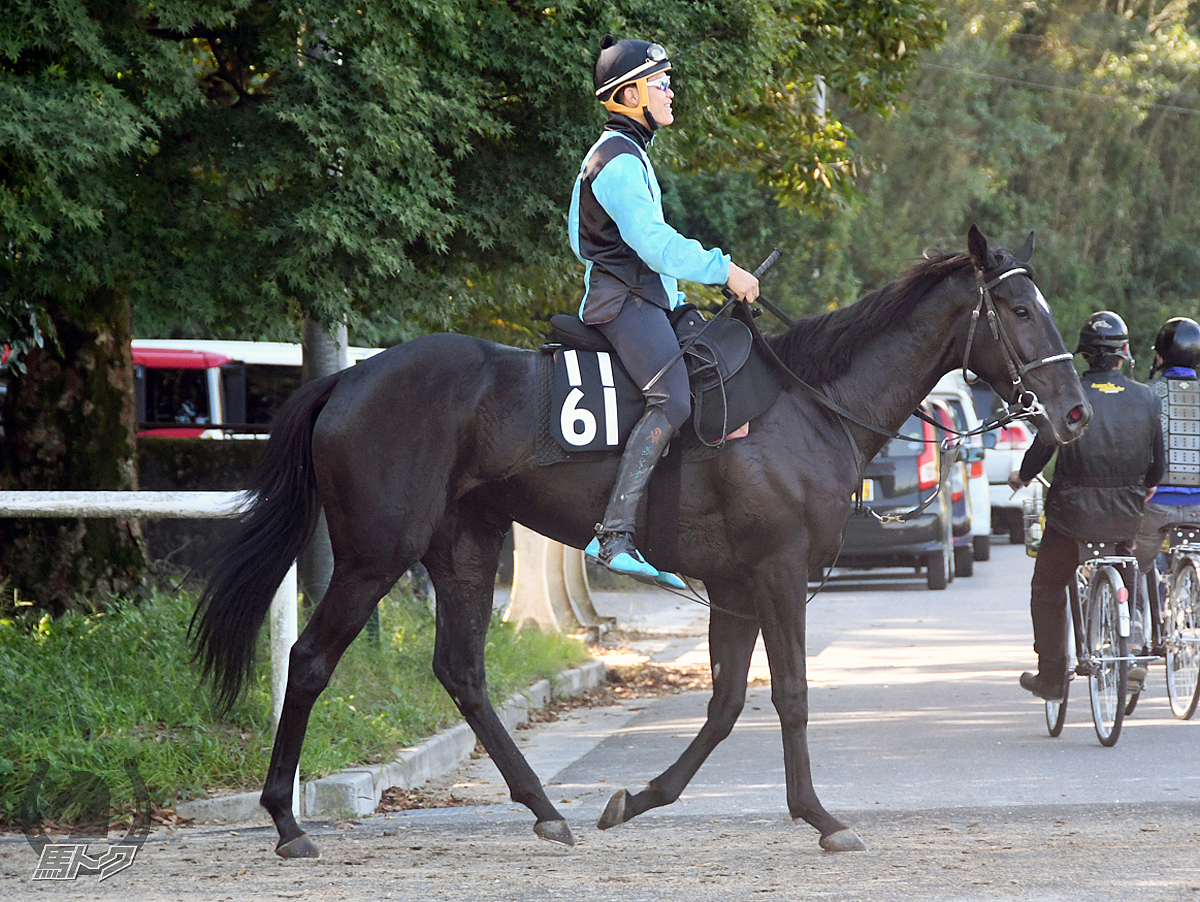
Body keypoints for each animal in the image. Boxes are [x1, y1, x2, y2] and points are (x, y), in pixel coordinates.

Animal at [192, 226, 1094, 858]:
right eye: (1019, 310)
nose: (1075, 409)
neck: (808, 403)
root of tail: (350, 376)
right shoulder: (777, 576)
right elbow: (790, 696)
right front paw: (820, 816)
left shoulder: (735, 587)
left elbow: (726, 704)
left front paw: (638, 799)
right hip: (374, 557)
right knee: (310, 661)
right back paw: (286, 821)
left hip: (465, 550)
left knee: (462, 672)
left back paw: (544, 809)